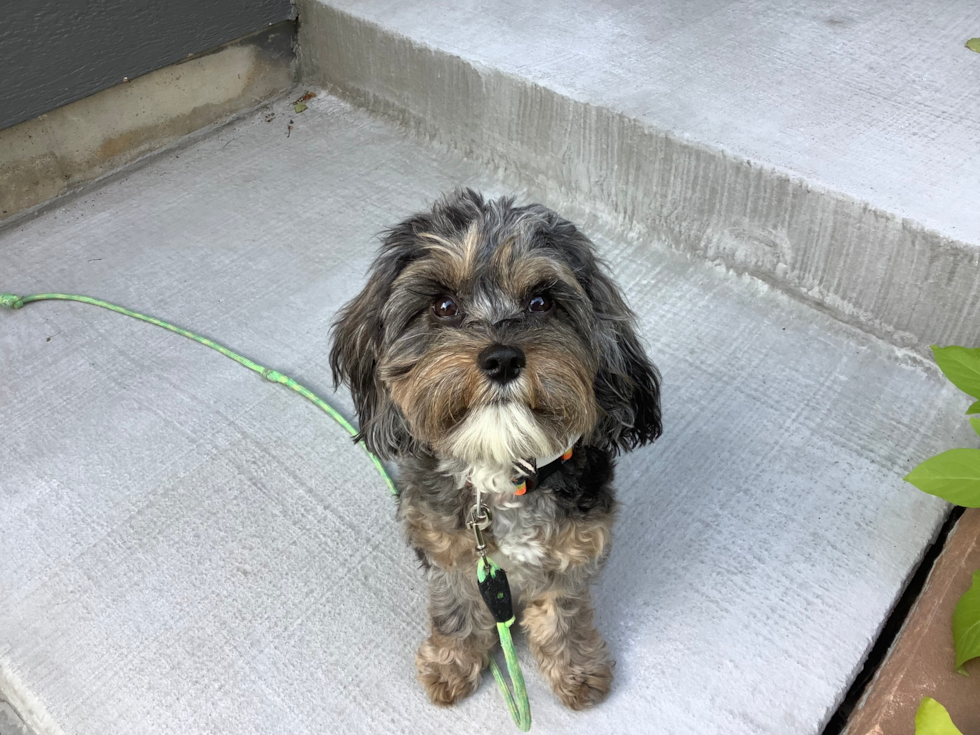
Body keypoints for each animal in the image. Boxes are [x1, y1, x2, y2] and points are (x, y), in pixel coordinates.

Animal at [330, 191, 660, 712]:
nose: (502, 358)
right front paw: (452, 662)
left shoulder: (573, 554)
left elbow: (563, 613)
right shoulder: (450, 553)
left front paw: (576, 668)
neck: (501, 472)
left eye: (541, 301)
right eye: (443, 305)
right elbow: (456, 609)